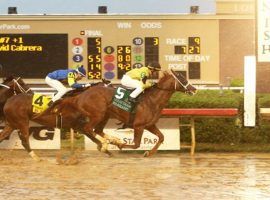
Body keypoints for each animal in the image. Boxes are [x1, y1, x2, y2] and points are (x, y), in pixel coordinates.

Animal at [57, 69, 196, 157]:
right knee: (87, 129)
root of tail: (81, 95)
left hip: (105, 116)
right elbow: (136, 144)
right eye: (182, 78)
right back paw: (104, 145)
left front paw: (148, 153)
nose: (194, 89)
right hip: (97, 115)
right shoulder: (138, 126)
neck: (152, 100)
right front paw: (120, 145)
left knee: (96, 130)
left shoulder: (149, 125)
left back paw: (109, 143)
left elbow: (161, 137)